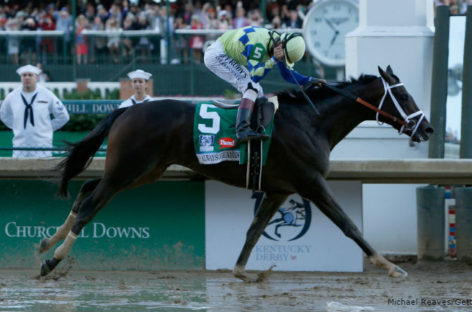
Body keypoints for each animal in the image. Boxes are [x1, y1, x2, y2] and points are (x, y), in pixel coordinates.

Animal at [38, 67, 434, 282]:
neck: (311, 121)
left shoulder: (279, 189)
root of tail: (127, 110)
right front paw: (390, 267)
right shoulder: (311, 182)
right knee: (91, 205)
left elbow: (255, 230)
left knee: (86, 190)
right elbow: (349, 225)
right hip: (129, 169)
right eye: (404, 96)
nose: (427, 129)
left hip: (142, 171)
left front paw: (244, 270)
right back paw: (51, 260)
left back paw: (47, 241)